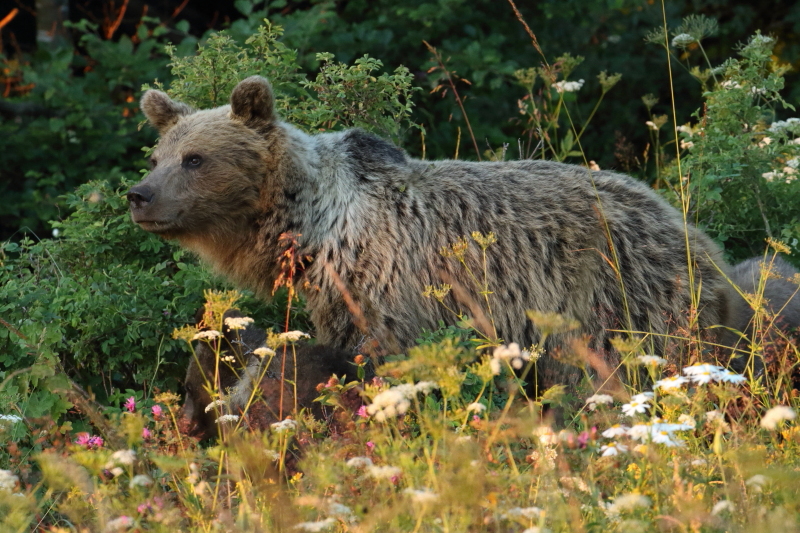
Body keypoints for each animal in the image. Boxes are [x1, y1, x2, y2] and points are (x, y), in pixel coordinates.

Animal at [131, 75, 736, 388]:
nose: (139, 196)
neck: (317, 226)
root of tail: (690, 230)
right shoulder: (339, 296)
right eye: (157, 156)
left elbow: (383, 354)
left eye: (195, 158)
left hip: (618, 295)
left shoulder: (387, 282)